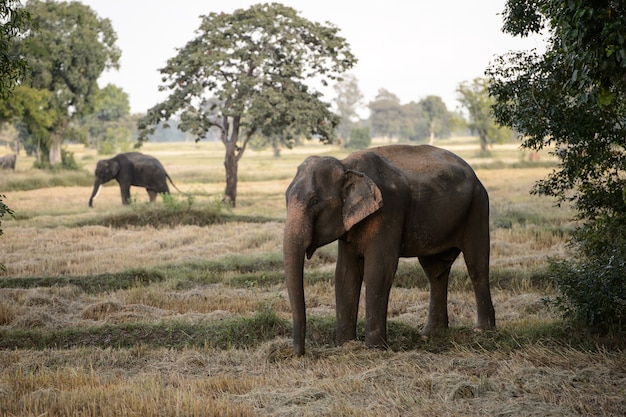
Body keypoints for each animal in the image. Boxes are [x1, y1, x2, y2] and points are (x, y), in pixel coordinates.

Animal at [282, 144, 492, 354]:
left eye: (315, 201)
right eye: (286, 198)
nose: (299, 354)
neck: (347, 165)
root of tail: (473, 173)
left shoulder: (388, 212)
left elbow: (379, 270)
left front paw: (374, 349)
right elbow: (345, 272)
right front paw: (345, 345)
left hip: (478, 207)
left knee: (476, 265)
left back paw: (482, 331)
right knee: (435, 271)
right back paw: (430, 334)